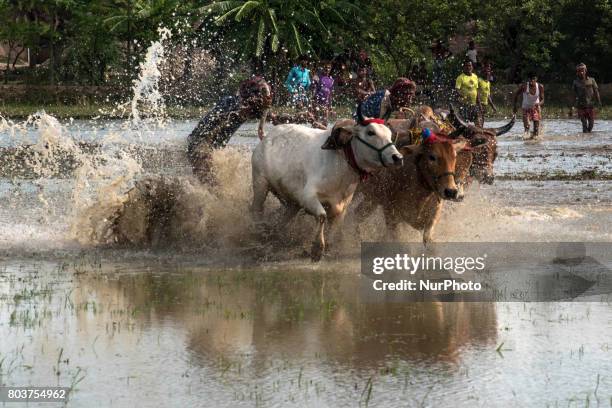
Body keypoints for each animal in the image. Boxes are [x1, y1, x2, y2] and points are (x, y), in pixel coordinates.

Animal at [251, 112, 404, 262]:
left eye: (389, 133)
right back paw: (258, 232)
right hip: (260, 183)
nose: (397, 157)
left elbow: (333, 229)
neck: (341, 164)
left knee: (284, 218)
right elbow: (322, 216)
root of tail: (266, 137)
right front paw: (317, 249)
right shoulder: (308, 197)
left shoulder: (341, 208)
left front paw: (328, 248)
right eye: (370, 132)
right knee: (256, 209)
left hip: (292, 203)